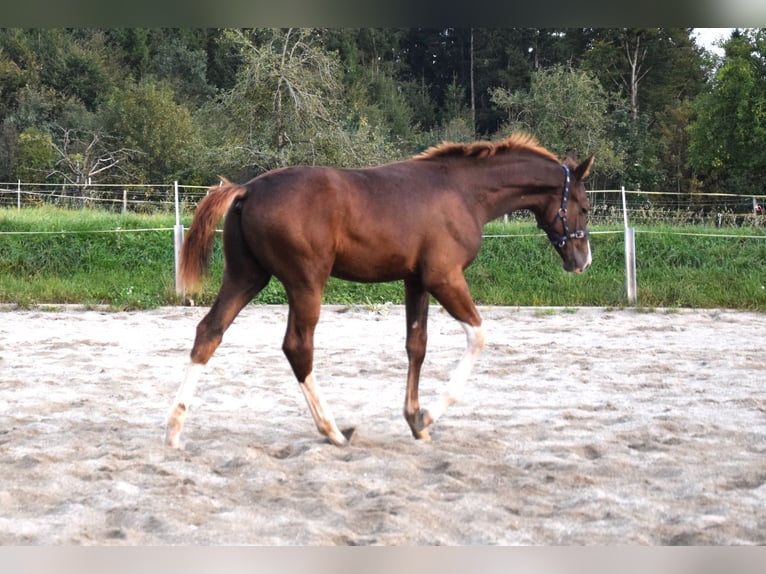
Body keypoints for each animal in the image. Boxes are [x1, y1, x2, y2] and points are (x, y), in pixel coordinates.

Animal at [165, 132, 594, 448]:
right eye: (585, 206)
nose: (582, 260)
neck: (463, 192)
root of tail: (248, 190)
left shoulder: (416, 280)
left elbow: (416, 346)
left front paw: (415, 419)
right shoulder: (444, 277)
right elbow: (478, 336)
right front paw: (429, 415)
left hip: (246, 276)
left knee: (209, 332)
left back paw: (174, 431)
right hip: (306, 283)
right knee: (297, 346)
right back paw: (334, 431)